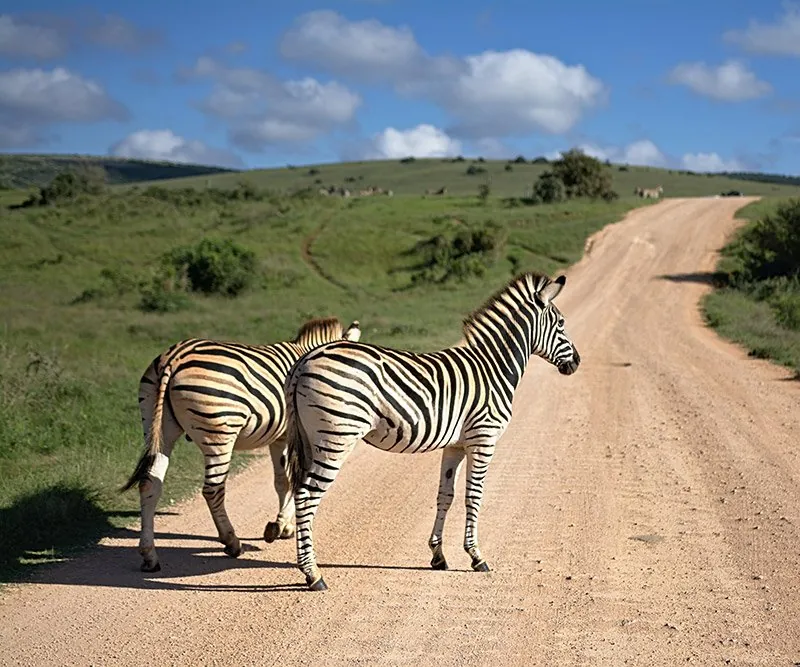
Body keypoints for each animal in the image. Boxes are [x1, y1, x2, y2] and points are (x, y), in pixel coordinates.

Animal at [121, 316, 362, 573]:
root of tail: (174, 357)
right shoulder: (294, 435)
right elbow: (294, 481)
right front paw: (280, 526)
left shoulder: (280, 437)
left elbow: (282, 481)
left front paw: (283, 526)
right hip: (219, 433)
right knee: (213, 490)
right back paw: (231, 542)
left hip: (157, 427)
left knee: (150, 484)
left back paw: (150, 556)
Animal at [284, 272, 581, 591]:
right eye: (561, 323)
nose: (576, 363)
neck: (494, 368)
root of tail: (305, 360)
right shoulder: (483, 438)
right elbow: (474, 495)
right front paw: (476, 556)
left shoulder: (456, 445)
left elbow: (445, 495)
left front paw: (438, 556)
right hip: (336, 438)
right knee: (307, 496)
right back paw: (313, 574)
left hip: (311, 438)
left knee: (299, 492)